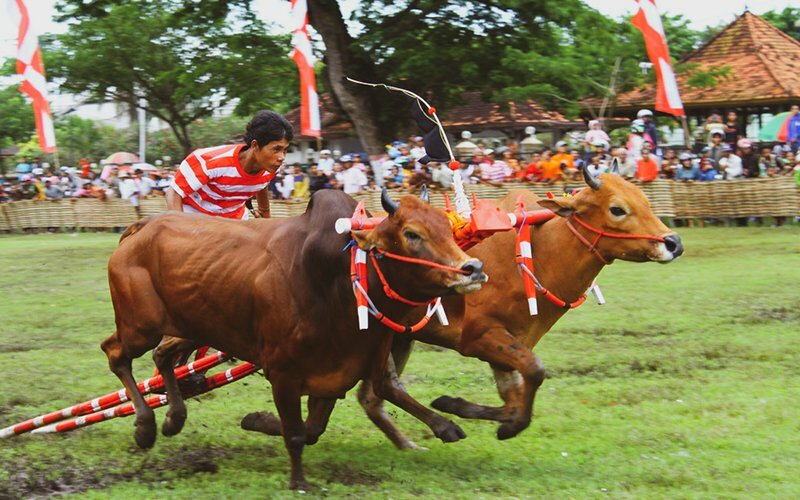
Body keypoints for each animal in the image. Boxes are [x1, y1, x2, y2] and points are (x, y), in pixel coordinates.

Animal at [102, 188, 484, 488]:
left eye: (447, 227)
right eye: (412, 234)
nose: (473, 269)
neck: (337, 278)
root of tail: (142, 226)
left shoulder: (344, 369)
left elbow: (325, 421)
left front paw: (445, 425)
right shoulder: (283, 374)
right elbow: (298, 432)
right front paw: (298, 481)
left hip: (192, 329)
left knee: (163, 356)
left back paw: (173, 419)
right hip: (140, 327)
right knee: (115, 353)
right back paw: (145, 427)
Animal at [354, 170, 680, 448]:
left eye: (644, 200)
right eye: (617, 209)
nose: (673, 243)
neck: (538, 252)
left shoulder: (511, 344)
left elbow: (513, 398)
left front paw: (463, 407)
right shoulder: (479, 337)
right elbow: (535, 371)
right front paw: (503, 425)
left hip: (400, 338)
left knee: (372, 394)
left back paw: (408, 442)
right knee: (382, 386)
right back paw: (442, 427)